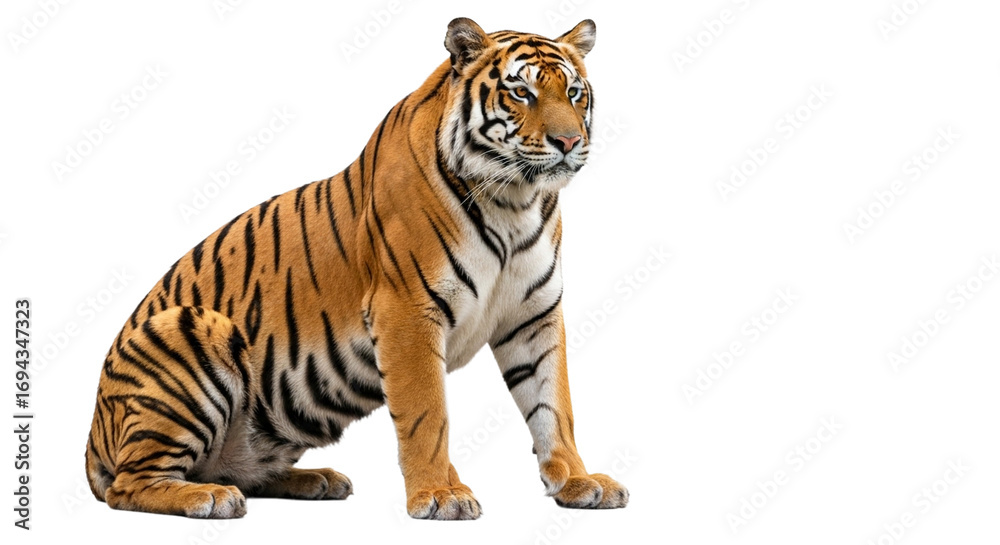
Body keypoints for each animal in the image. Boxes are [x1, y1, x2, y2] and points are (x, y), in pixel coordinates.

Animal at [85, 17, 628, 520]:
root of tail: (93, 431)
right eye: (521, 92)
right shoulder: (408, 311)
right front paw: (441, 494)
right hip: (191, 327)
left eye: (574, 93)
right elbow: (427, 413)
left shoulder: (534, 315)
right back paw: (209, 497)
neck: (515, 202)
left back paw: (317, 480)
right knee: (129, 486)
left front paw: (578, 481)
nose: (568, 141)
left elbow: (553, 406)